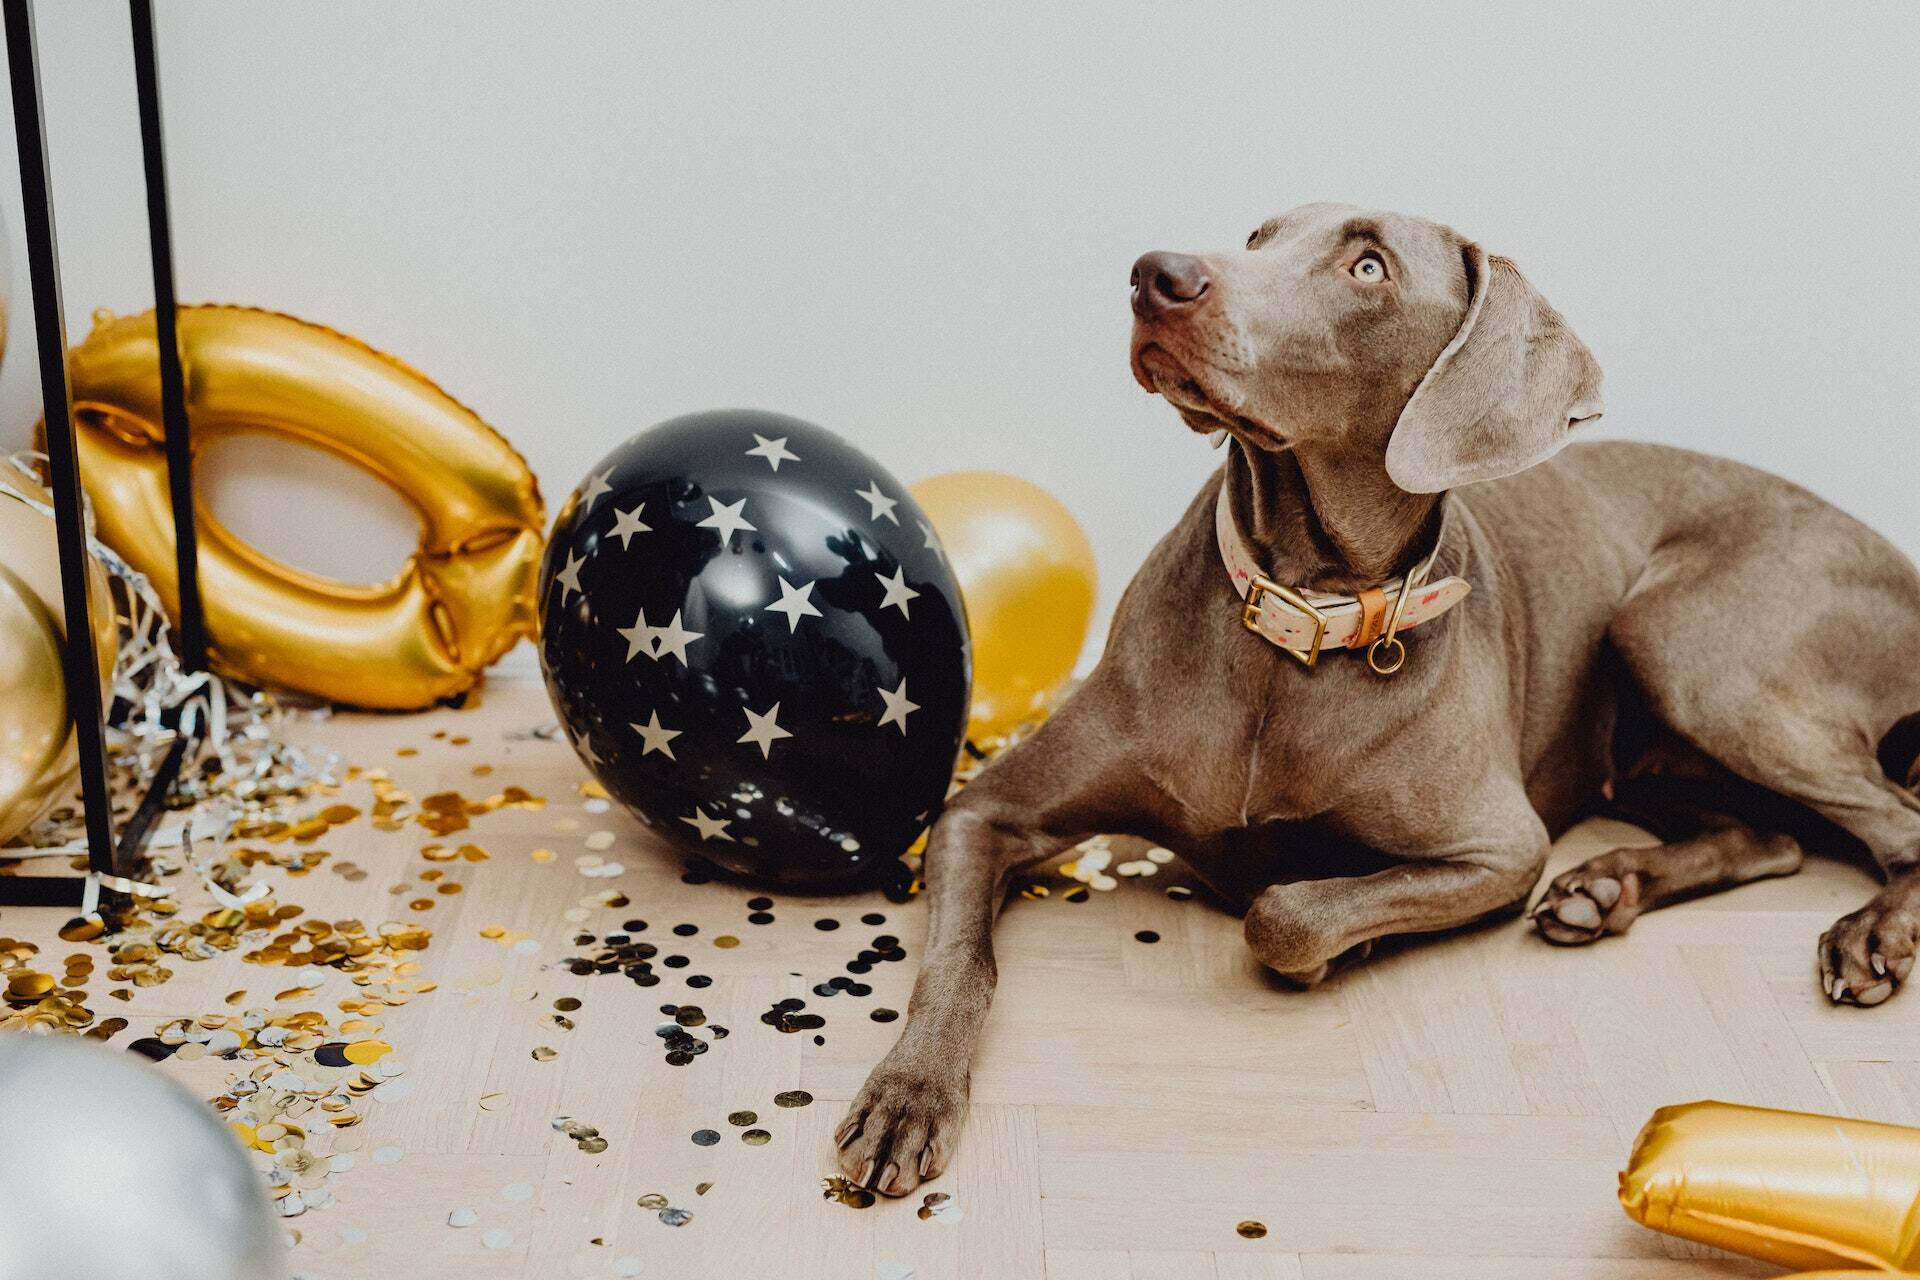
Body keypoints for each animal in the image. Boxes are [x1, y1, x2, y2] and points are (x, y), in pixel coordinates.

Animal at [833, 202, 1920, 1205]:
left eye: (1368, 267)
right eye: (1259, 236)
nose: (1154, 274)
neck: (1297, 617)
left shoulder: (1500, 847)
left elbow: (1285, 913)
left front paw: (1317, 931)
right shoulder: (983, 813)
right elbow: (958, 963)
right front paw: (905, 1097)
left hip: (1680, 638)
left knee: (1894, 823)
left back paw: (1867, 937)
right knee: (1770, 837)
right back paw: (1607, 886)